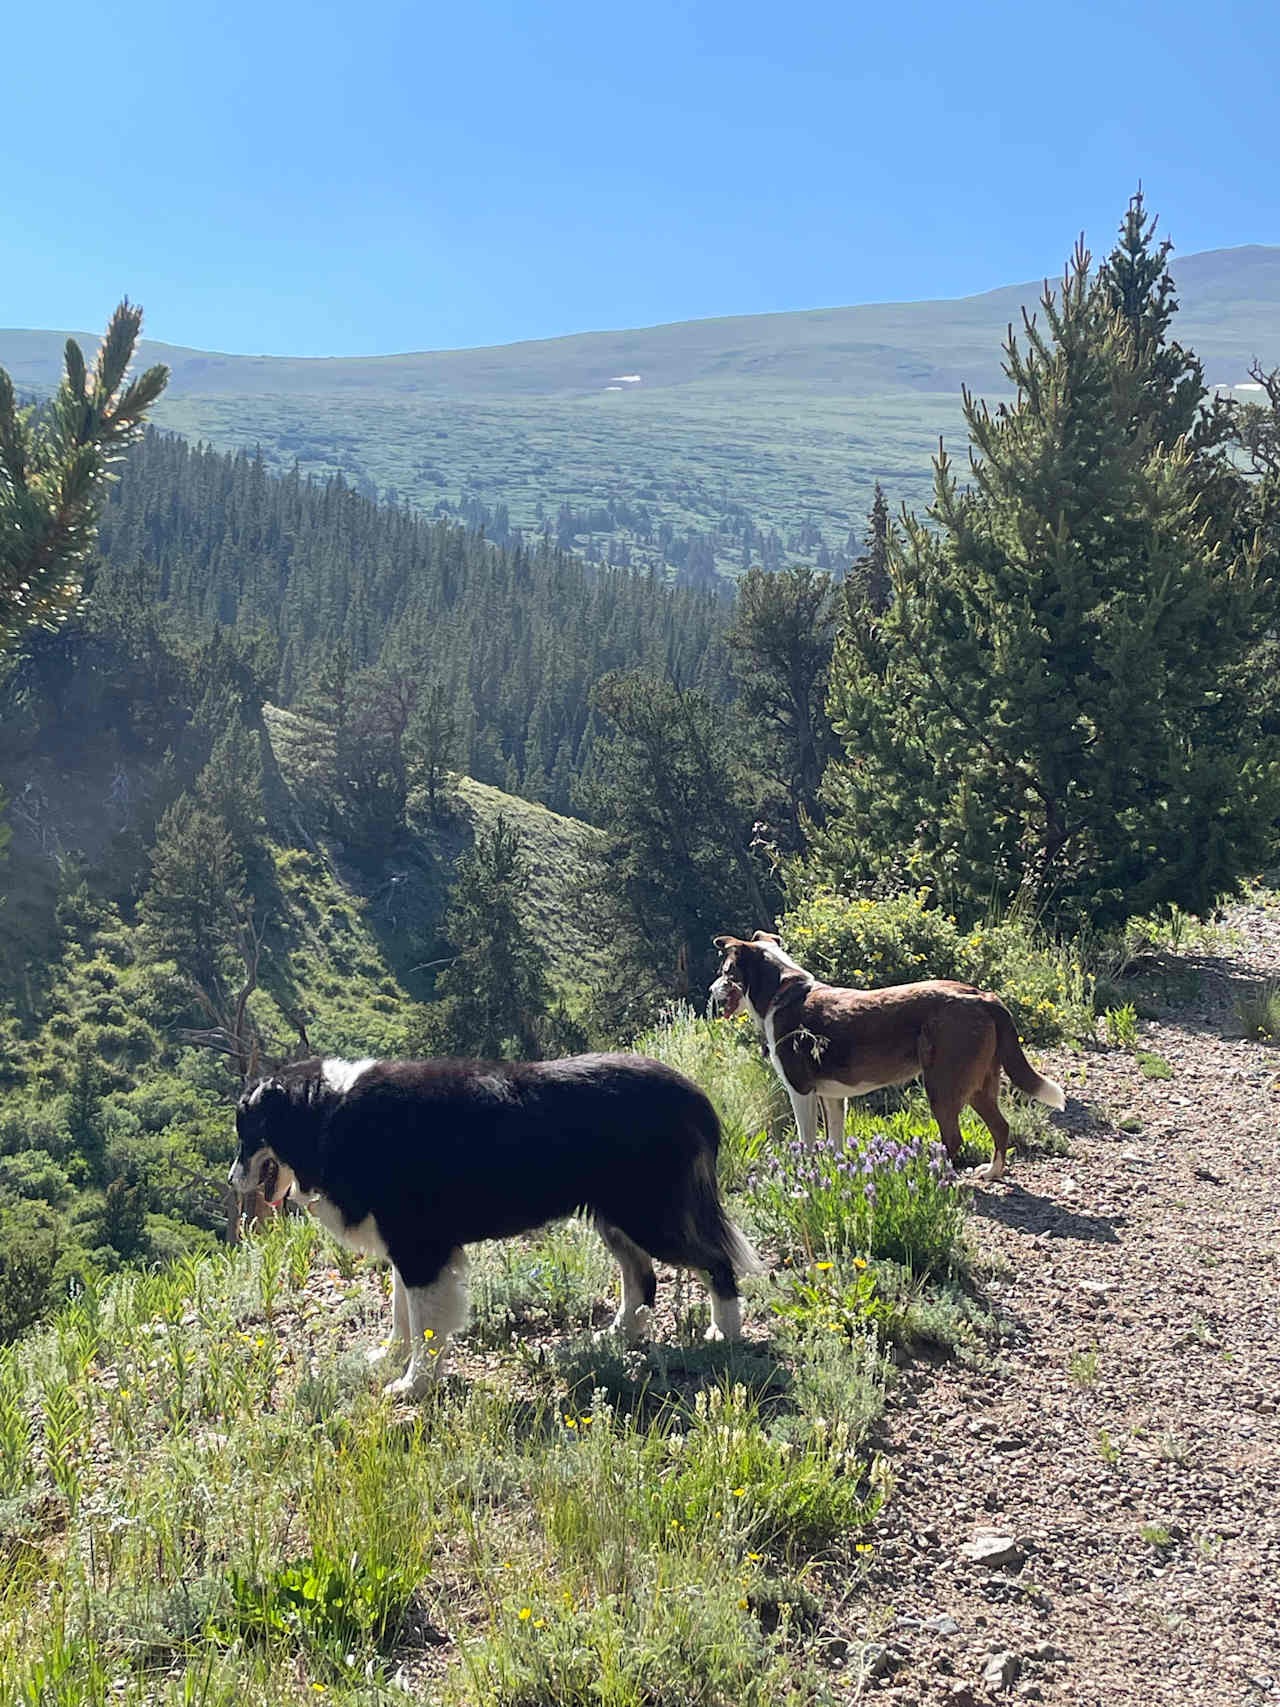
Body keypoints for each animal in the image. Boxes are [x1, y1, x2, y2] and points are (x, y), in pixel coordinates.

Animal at [228, 1051, 761, 1399]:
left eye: (247, 1133)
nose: (232, 1182)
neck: (326, 1117)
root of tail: (692, 1092)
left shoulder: (420, 1248)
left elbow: (425, 1324)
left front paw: (414, 1384)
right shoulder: (407, 1245)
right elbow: (402, 1313)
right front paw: (391, 1358)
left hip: (650, 1213)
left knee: (715, 1261)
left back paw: (724, 1333)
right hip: (616, 1216)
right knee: (642, 1276)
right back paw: (617, 1335)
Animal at [716, 928, 1064, 1181]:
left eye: (725, 970)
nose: (710, 990)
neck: (780, 992)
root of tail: (983, 996)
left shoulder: (801, 1090)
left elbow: (807, 1142)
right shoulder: (832, 1096)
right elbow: (834, 1142)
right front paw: (836, 1173)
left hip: (942, 1085)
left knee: (954, 1139)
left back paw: (932, 1177)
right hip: (979, 1084)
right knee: (1001, 1127)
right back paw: (992, 1172)